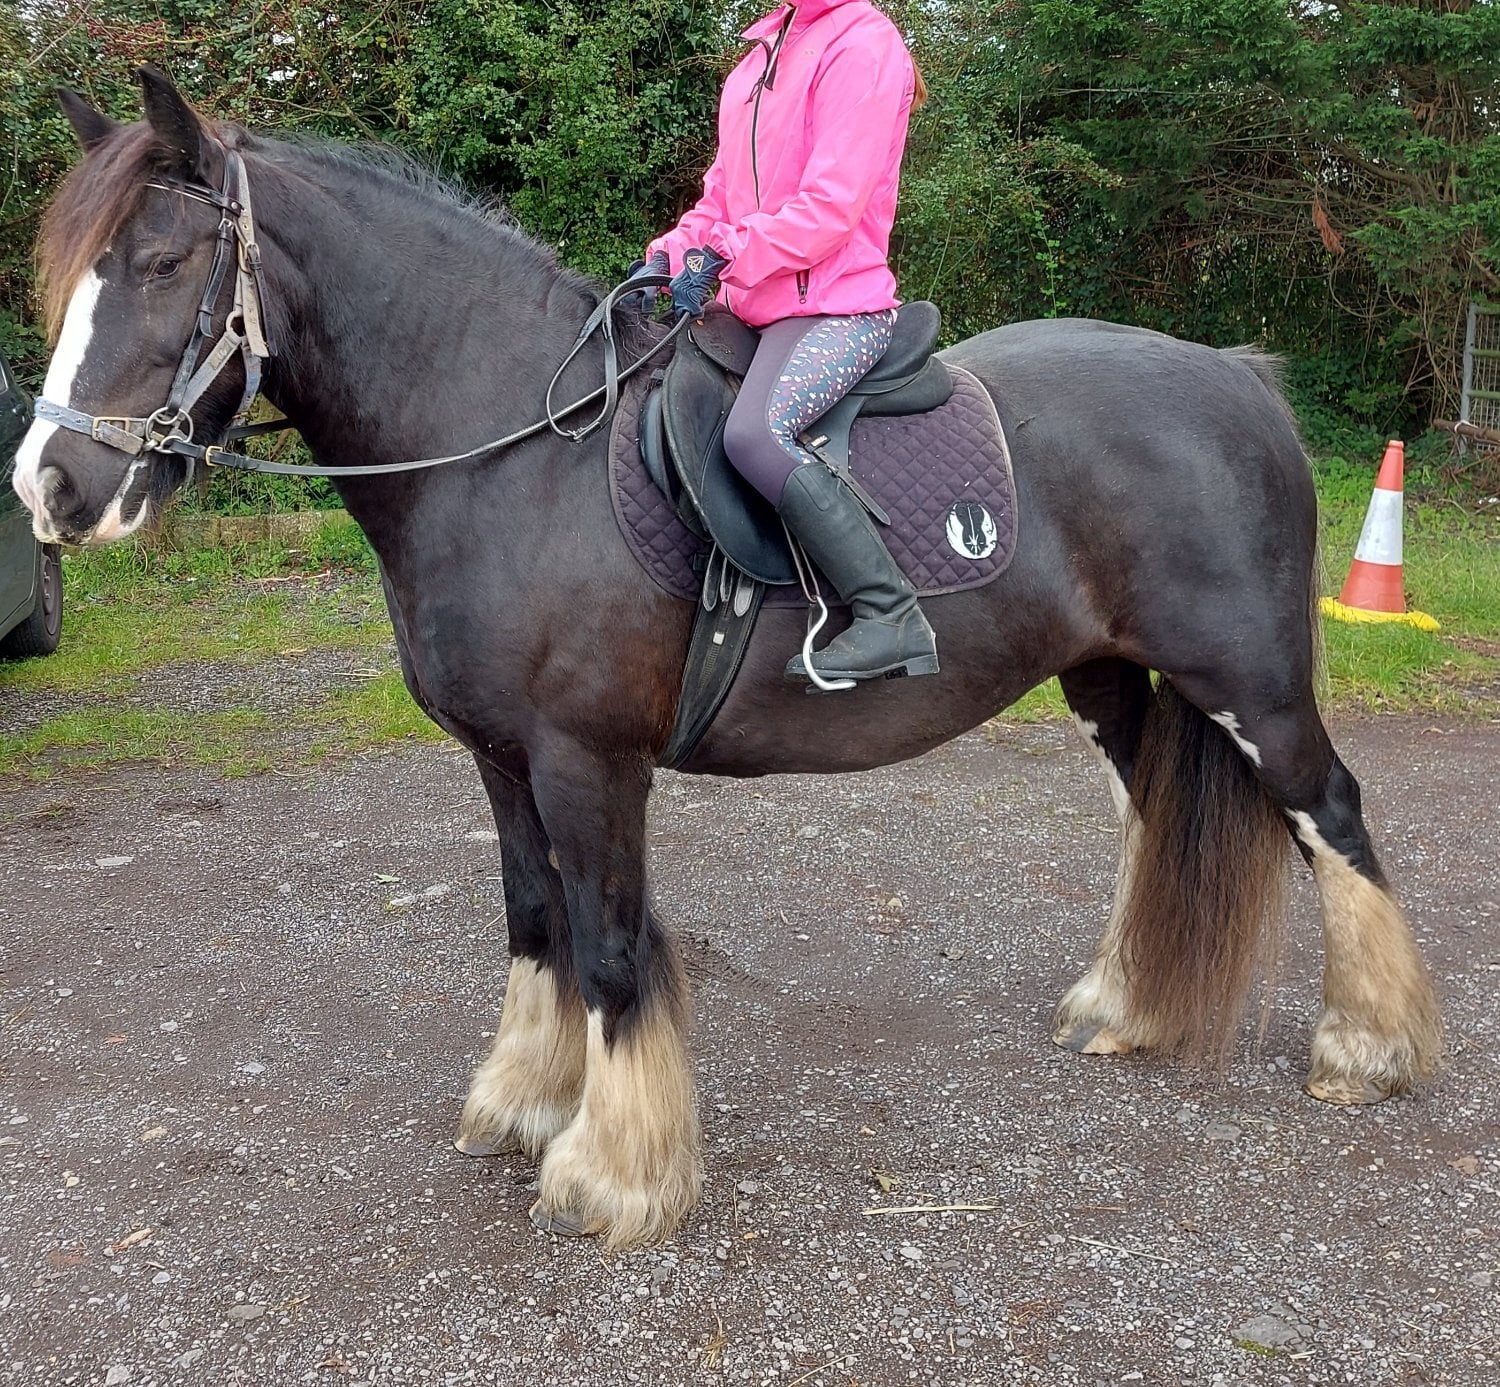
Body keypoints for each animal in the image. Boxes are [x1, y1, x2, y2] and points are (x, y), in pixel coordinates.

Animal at [15, 70, 1441, 1250]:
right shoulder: (502, 761)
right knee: (1154, 808)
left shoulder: (589, 763)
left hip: (1249, 682)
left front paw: (614, 1173)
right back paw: (1128, 1007)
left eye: (161, 260)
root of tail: (1237, 377)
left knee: (1334, 816)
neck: (511, 452)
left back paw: (1368, 1047)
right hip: (1108, 674)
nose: (51, 487)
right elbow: (533, 919)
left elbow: (609, 947)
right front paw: (526, 1103)